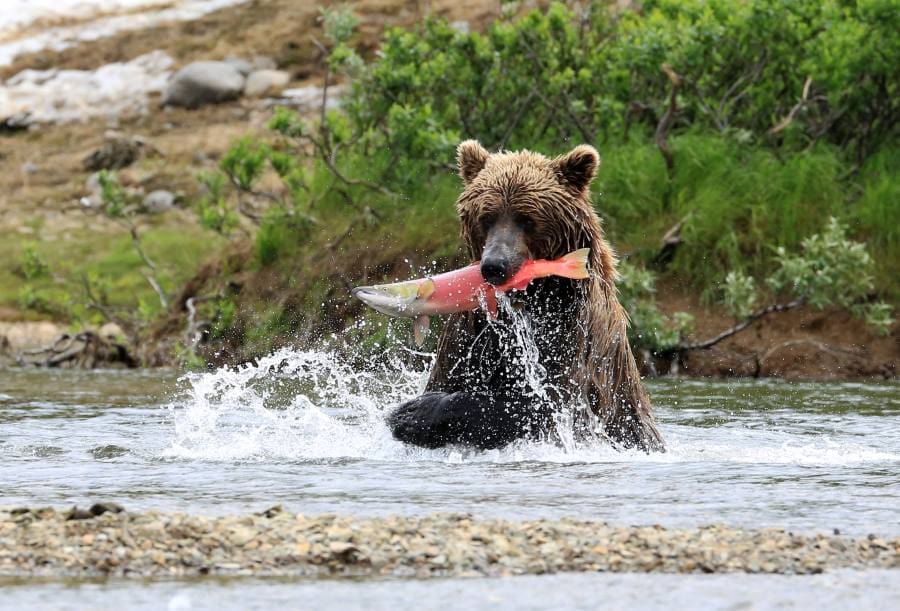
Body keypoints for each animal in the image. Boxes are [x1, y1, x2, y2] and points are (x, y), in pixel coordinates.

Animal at [387, 140, 664, 452]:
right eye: (486, 217)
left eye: (527, 219)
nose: (495, 265)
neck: (532, 298)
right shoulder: (471, 331)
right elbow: (450, 374)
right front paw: (408, 413)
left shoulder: (573, 335)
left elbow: (541, 407)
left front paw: (413, 412)